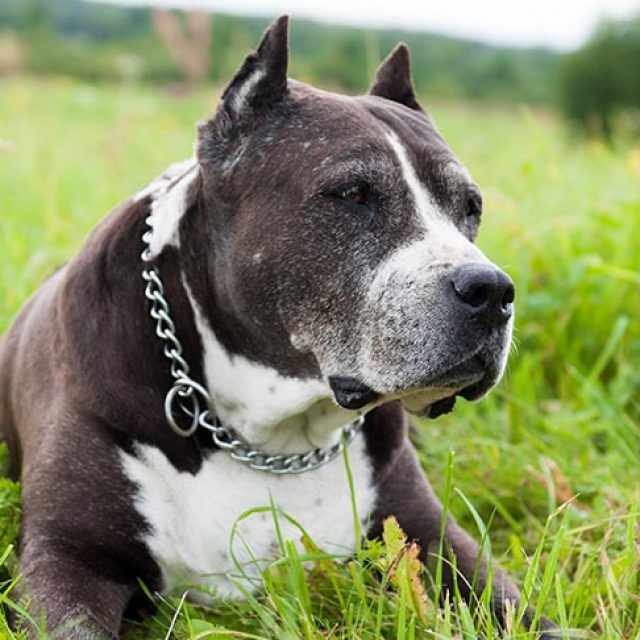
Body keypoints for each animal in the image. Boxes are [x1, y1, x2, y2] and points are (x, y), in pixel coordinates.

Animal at [0, 16, 562, 639]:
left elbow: (528, 614)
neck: (271, 437)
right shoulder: (68, 556)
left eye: (471, 207)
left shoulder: (430, 537)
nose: (491, 290)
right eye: (353, 194)